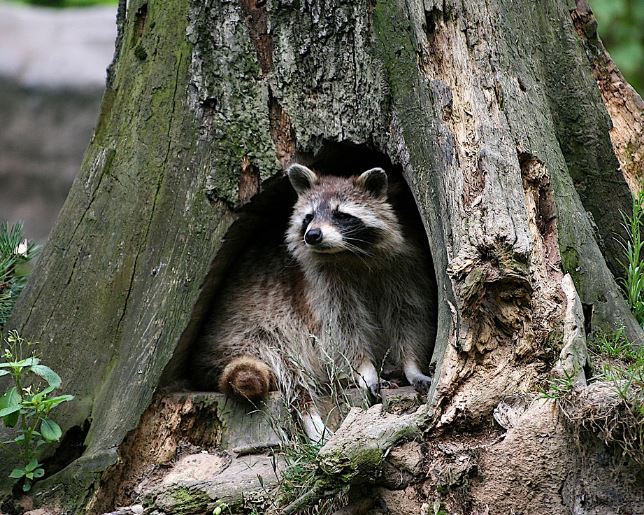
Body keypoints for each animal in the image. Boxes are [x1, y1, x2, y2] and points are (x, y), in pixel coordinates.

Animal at [193, 164, 436, 441]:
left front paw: (411, 365)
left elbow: (408, 316)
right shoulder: (318, 287)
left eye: (341, 215)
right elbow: (341, 332)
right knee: (291, 373)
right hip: (255, 336)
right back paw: (312, 419)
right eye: (308, 217)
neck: (350, 254)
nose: (313, 235)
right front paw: (365, 370)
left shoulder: (404, 269)